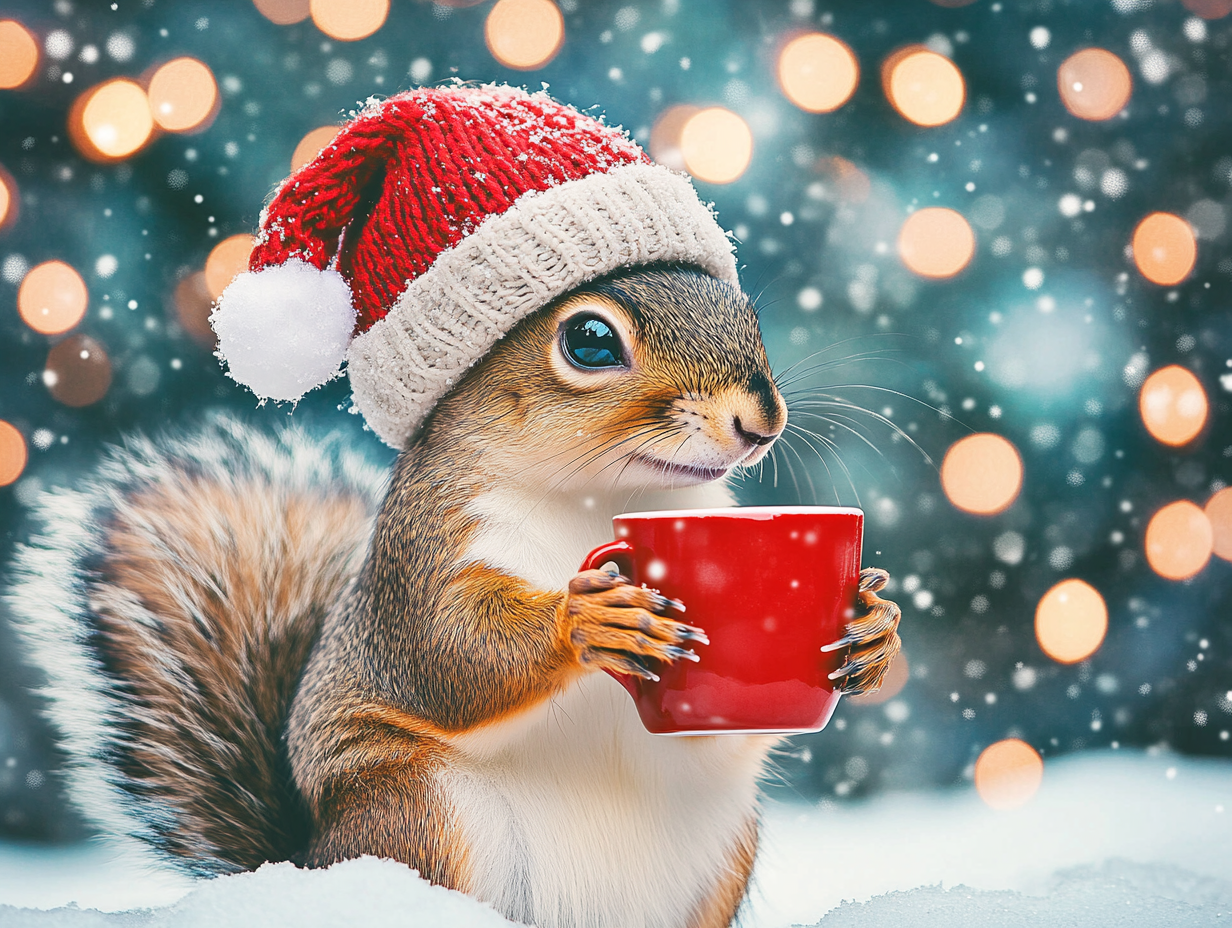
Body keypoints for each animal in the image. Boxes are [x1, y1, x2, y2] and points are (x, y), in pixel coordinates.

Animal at [8, 88, 902, 928]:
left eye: (744, 312)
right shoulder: (426, 553)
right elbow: (448, 654)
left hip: (722, 851)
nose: (761, 421)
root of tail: (304, 862)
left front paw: (873, 628)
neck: (608, 496)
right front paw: (585, 618)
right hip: (422, 812)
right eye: (589, 342)